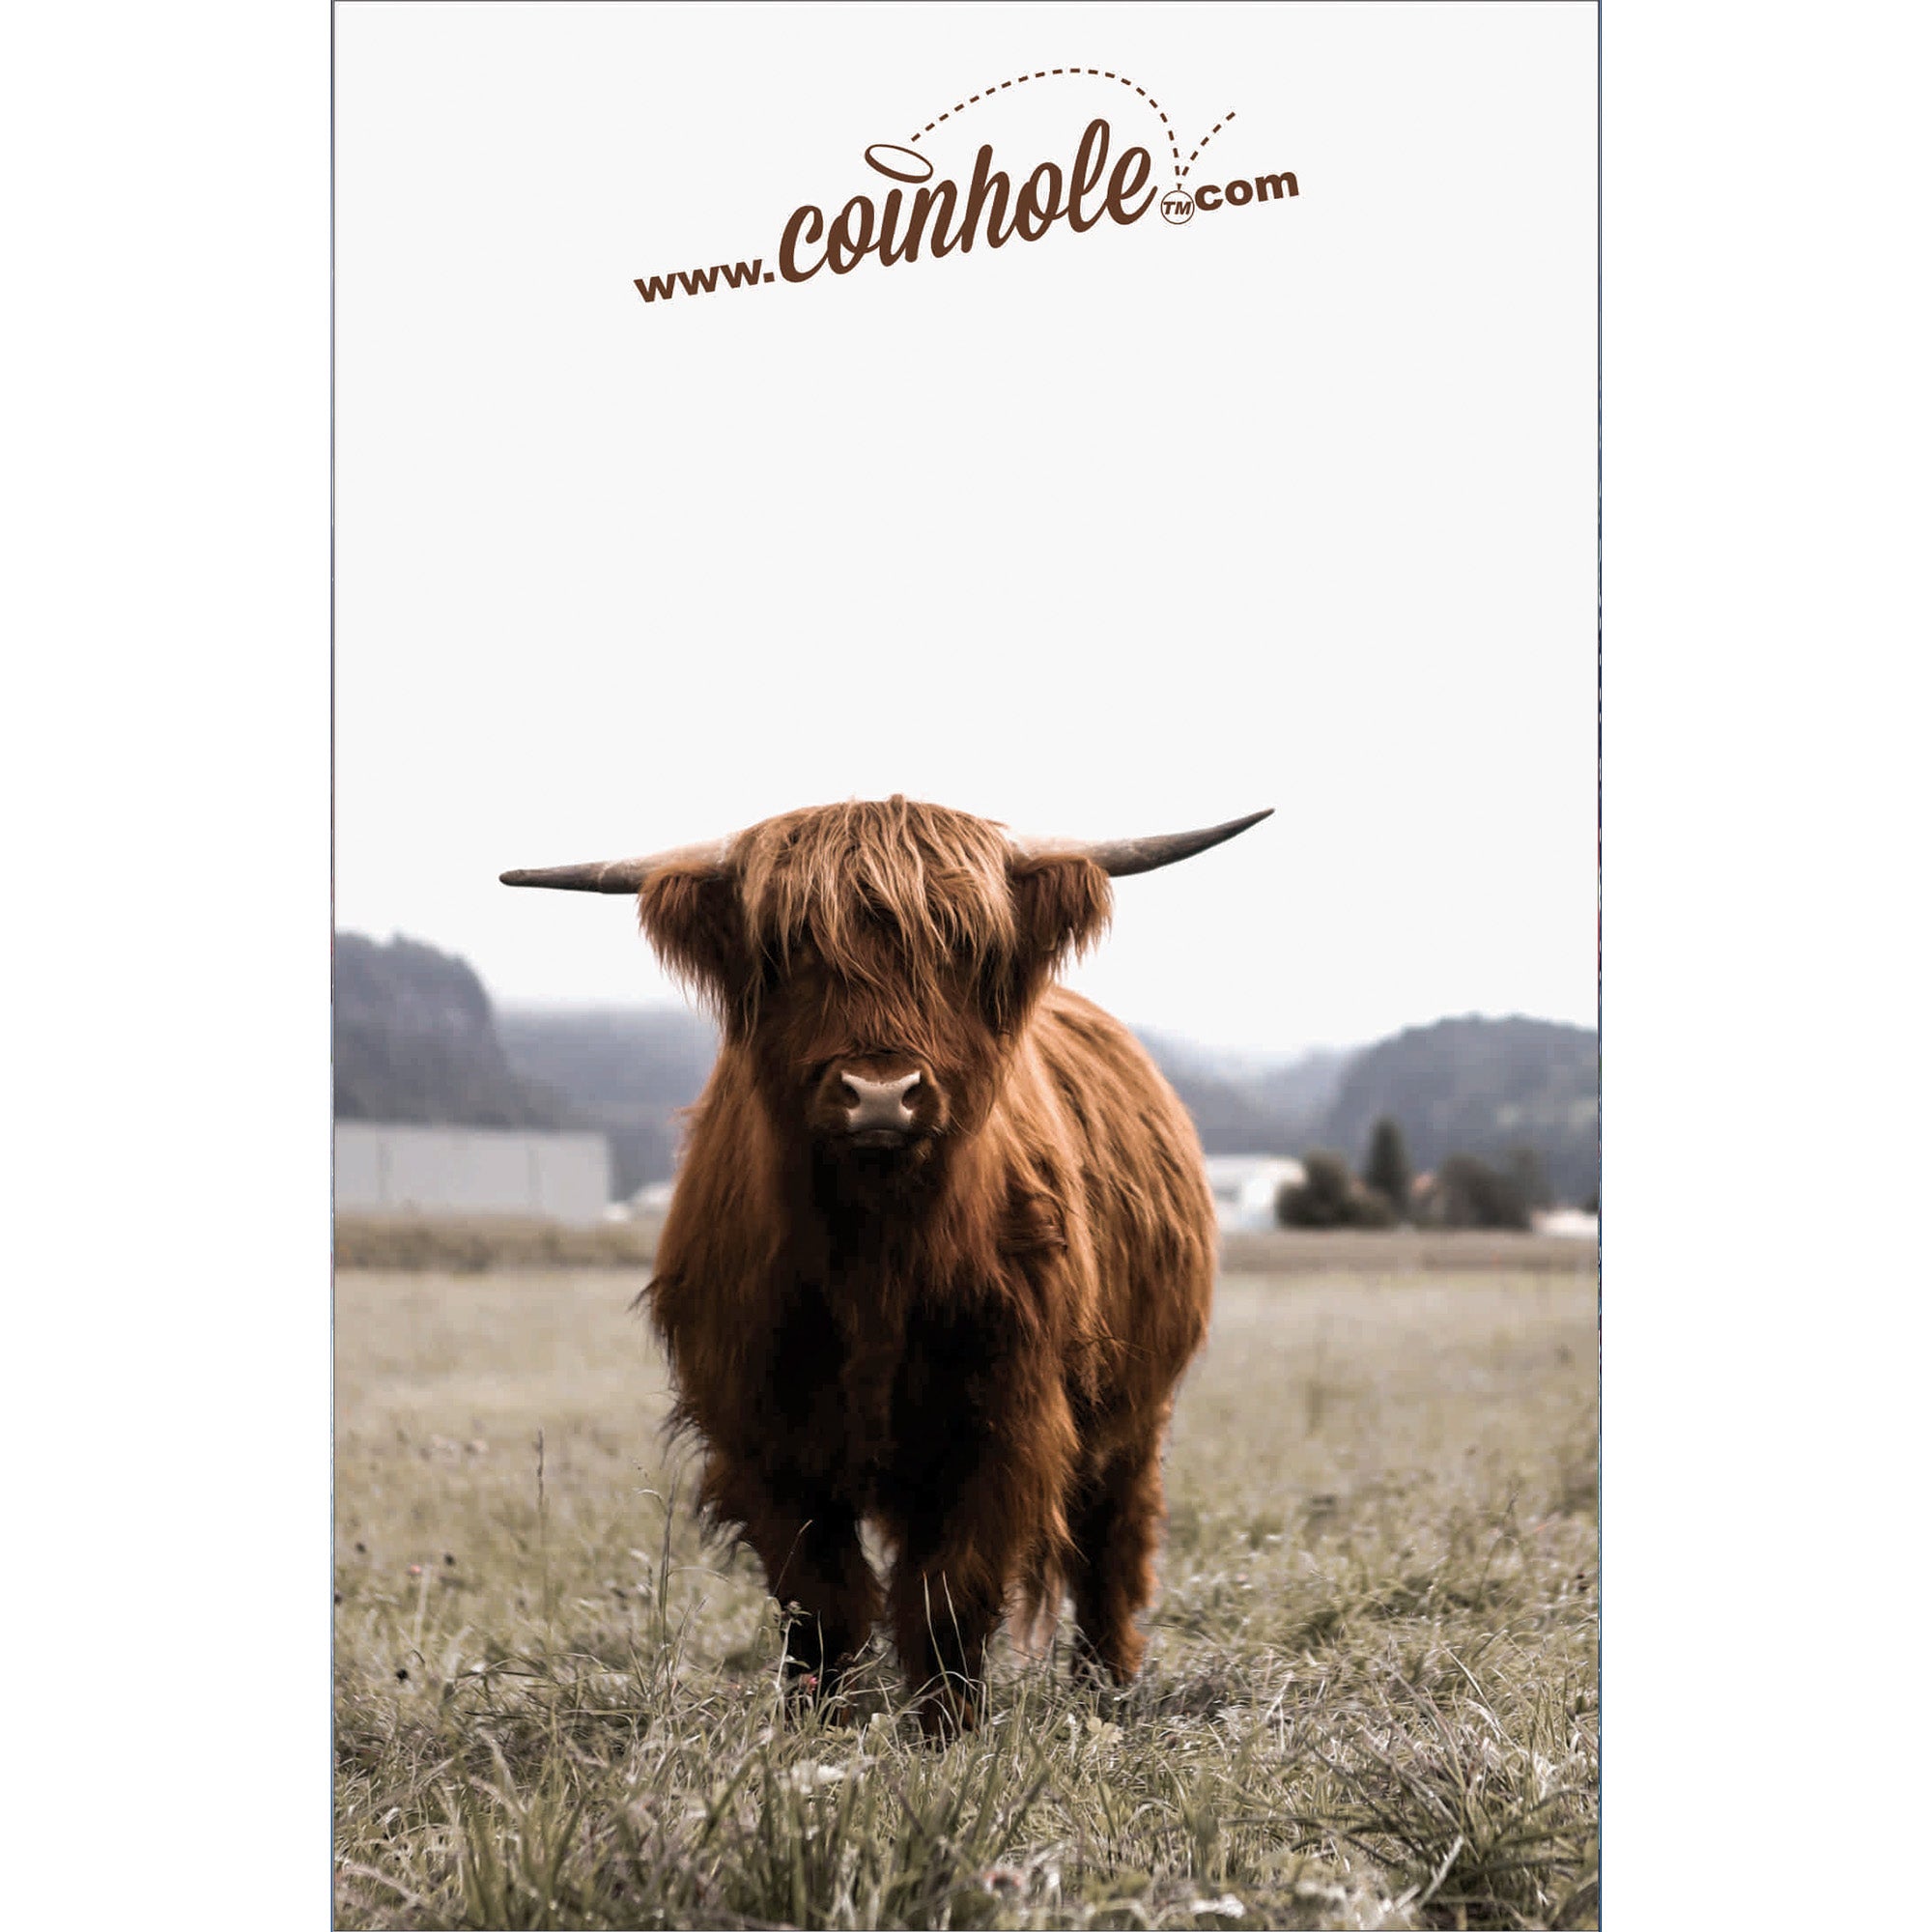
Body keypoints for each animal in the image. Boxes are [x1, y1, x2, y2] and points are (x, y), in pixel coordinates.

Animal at [501, 796, 1270, 1735]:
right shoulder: (759, 1424)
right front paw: (816, 1719)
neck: (875, 1257)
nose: (879, 1092)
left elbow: (949, 1590)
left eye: (963, 947)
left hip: (1136, 1410)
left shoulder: (1003, 1415)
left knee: (1113, 1540)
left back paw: (1106, 1683)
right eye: (788, 951)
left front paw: (948, 1726)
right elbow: (820, 1595)